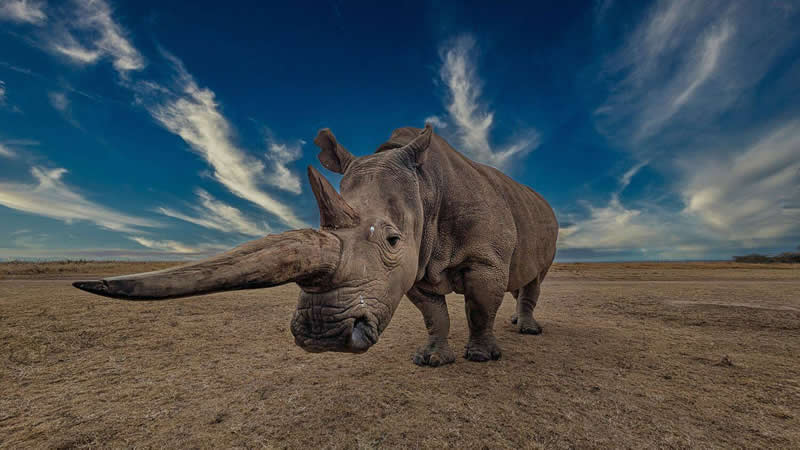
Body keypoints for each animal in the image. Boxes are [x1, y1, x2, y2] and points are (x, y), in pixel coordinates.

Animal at [73, 125, 558, 366]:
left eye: (391, 239)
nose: (321, 336)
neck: (426, 189)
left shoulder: (481, 258)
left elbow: (479, 306)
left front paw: (481, 358)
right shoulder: (415, 265)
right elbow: (433, 313)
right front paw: (432, 360)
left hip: (546, 220)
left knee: (537, 277)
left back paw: (526, 330)